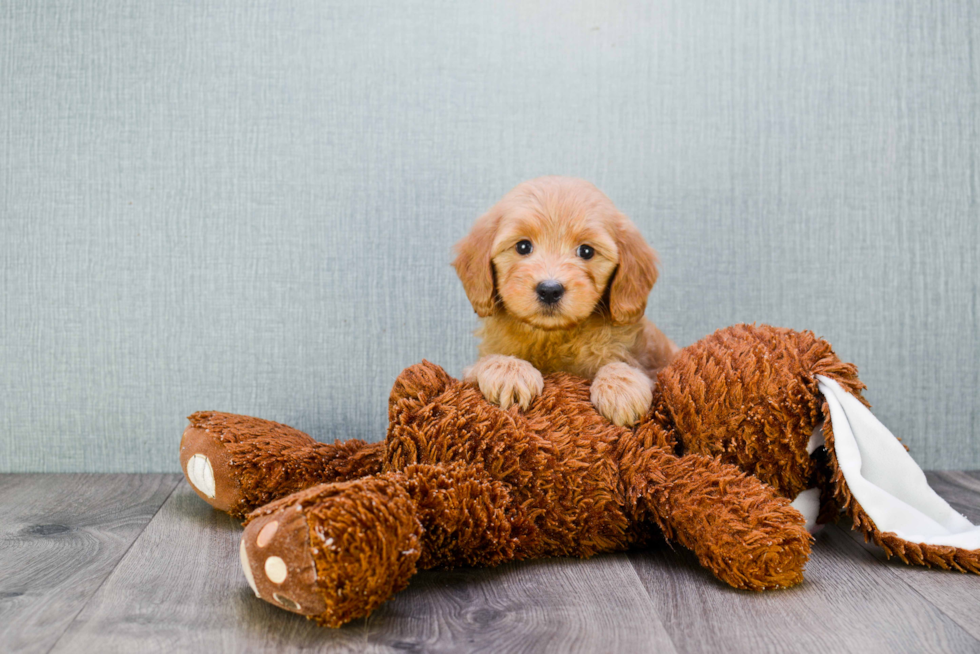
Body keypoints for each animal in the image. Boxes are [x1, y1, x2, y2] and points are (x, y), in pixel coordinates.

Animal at [454, 177, 676, 428]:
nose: (550, 290)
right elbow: (486, 362)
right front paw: (509, 373)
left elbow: (623, 365)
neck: (552, 336)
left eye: (586, 251)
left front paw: (621, 390)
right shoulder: (472, 368)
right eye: (523, 246)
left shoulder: (650, 365)